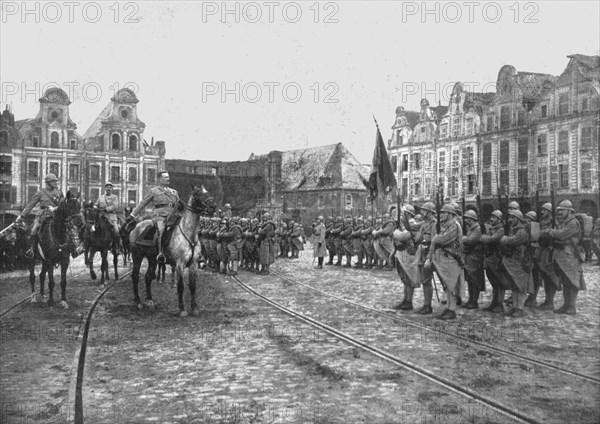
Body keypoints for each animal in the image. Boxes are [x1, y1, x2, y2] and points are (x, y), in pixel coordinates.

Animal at [130, 185, 214, 314]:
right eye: (198, 195)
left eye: (208, 192)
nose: (212, 207)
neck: (188, 233)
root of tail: (136, 227)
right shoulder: (179, 264)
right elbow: (180, 286)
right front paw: (182, 309)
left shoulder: (194, 264)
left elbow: (193, 286)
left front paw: (194, 308)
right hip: (137, 256)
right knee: (135, 276)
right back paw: (138, 302)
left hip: (152, 259)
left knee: (148, 276)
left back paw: (150, 301)